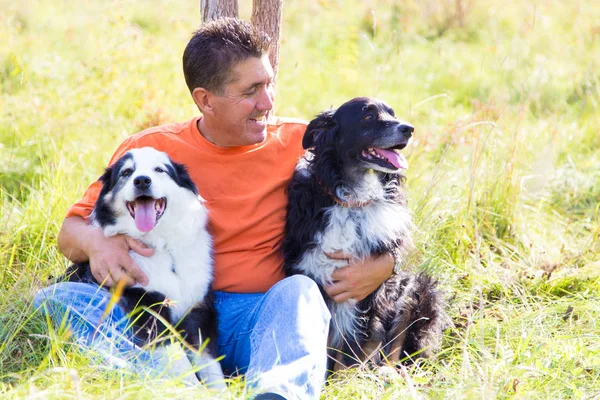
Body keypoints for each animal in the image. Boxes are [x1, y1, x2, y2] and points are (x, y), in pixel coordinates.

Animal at [61, 147, 225, 388]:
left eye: (160, 170)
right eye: (126, 172)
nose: (142, 181)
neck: (162, 246)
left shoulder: (197, 311)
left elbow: (211, 366)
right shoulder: (148, 306)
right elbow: (179, 363)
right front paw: (193, 391)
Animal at [284, 97, 448, 372]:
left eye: (392, 113)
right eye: (368, 117)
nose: (409, 129)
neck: (353, 202)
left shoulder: (369, 288)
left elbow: (355, 345)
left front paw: (346, 379)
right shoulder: (312, 272)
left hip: (416, 289)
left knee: (397, 344)